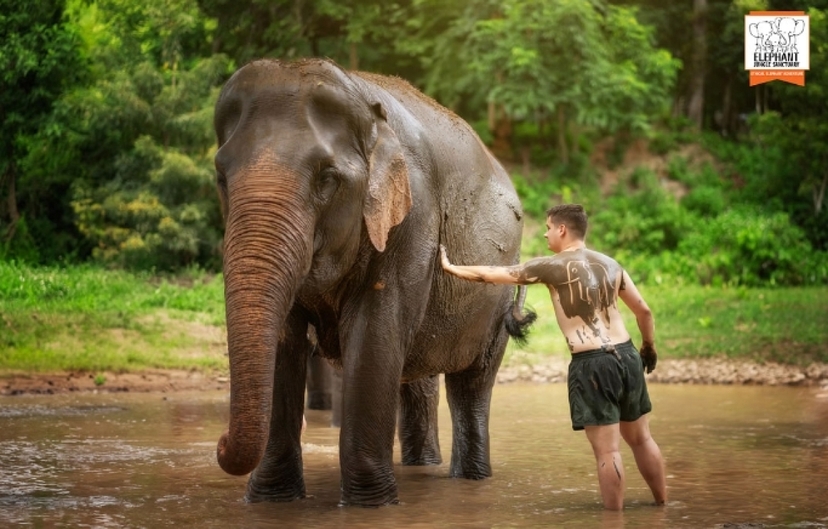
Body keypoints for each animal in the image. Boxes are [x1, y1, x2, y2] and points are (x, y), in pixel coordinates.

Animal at [213, 57, 536, 507]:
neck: (363, 104)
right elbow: (285, 338)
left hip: (498, 294)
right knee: (417, 376)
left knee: (471, 385)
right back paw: (421, 467)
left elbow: (375, 330)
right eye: (221, 178)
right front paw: (270, 501)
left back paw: (470, 479)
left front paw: (369, 506)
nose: (220, 443)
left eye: (327, 179)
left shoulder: (414, 215)